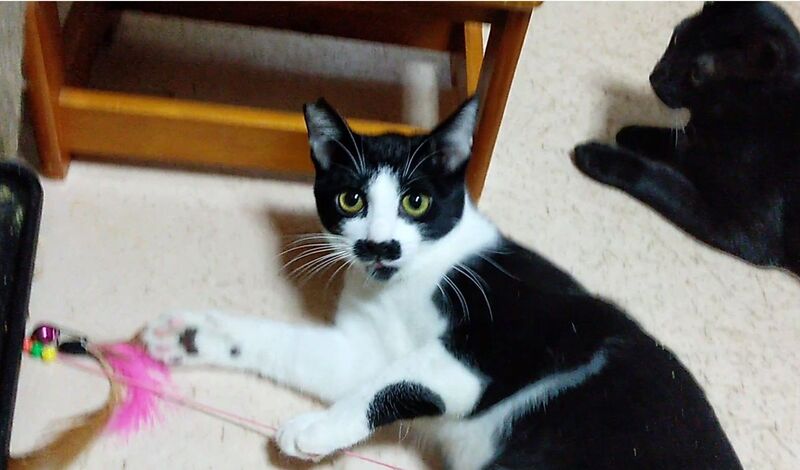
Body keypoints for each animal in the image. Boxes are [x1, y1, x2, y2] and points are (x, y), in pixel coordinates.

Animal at [142, 98, 741, 469]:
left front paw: (317, 429)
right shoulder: (363, 347)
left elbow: (401, 377)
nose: (379, 246)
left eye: (416, 202)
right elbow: (313, 355)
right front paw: (188, 336)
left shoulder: (494, 339)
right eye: (351, 200)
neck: (405, 283)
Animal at [573, 1, 800, 276]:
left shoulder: (746, 232)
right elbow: (672, 143)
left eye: (696, 75)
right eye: (677, 38)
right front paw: (629, 134)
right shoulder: (693, 141)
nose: (657, 76)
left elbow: (662, 180)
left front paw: (597, 155)